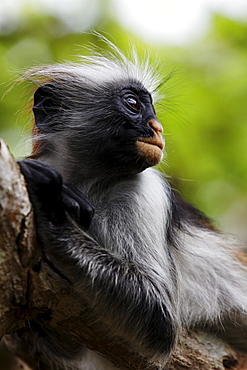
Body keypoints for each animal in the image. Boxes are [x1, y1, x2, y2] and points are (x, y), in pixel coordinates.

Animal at [8, 42, 247, 368]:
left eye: (152, 109)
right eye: (133, 103)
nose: (157, 128)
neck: (91, 180)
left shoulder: (143, 192)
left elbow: (160, 321)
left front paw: (51, 201)